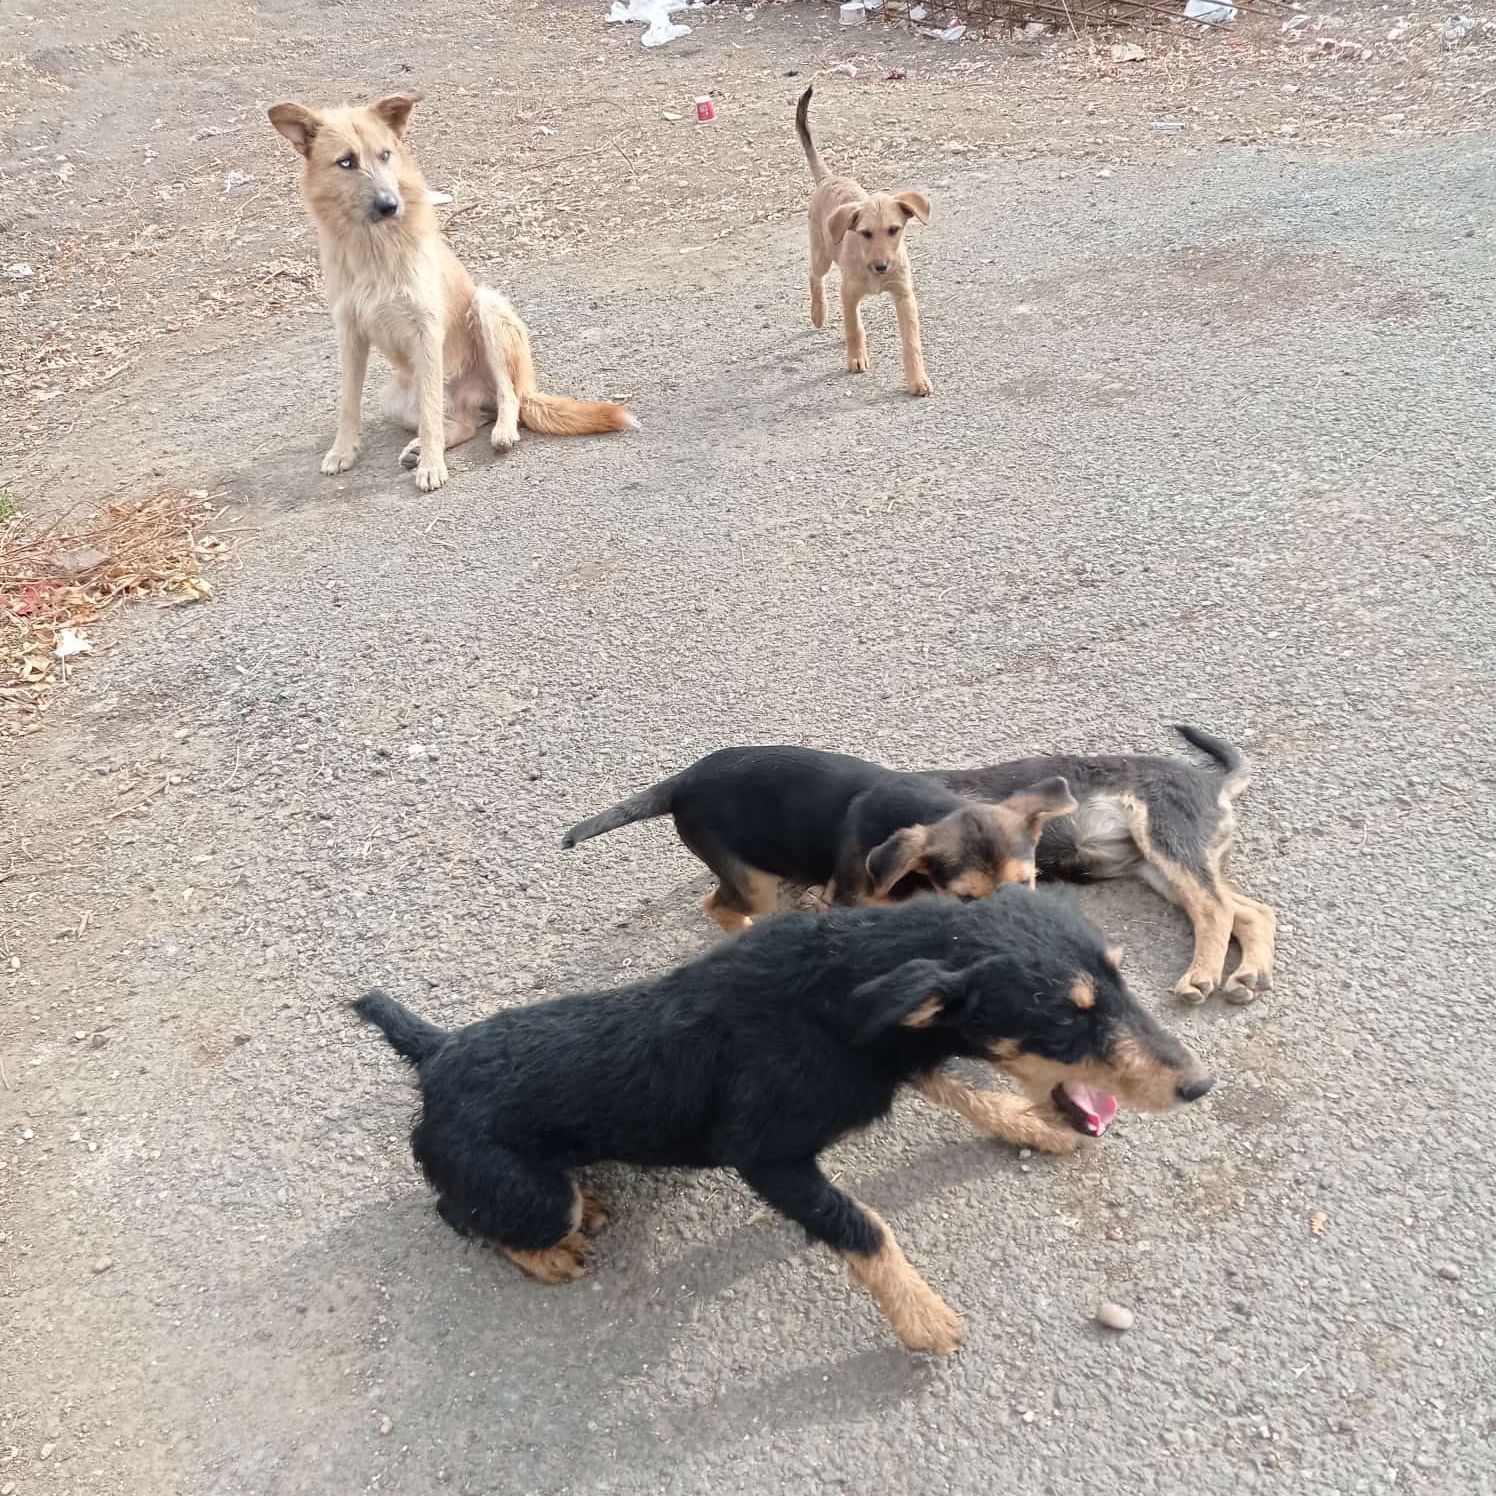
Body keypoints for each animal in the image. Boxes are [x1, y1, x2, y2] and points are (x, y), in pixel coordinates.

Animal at [267, 92, 634, 493]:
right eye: (346, 161)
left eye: (385, 155)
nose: (390, 205)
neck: (373, 248)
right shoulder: (350, 333)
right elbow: (348, 403)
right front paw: (343, 451)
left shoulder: (426, 329)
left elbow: (430, 414)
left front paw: (432, 466)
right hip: (394, 397)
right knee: (465, 423)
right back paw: (424, 446)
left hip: (487, 307)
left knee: (506, 396)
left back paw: (500, 432)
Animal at [353, 889, 1212, 1354]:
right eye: (1065, 1017)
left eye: (1119, 979)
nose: (1200, 1084)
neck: (840, 989)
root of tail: (436, 1053)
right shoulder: (768, 1159)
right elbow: (863, 1225)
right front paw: (922, 1318)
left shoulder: (897, 1054)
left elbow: (964, 1092)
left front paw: (1029, 1127)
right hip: (523, 1190)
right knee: (459, 1213)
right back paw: (551, 1251)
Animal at [796, 83, 933, 396]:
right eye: (865, 233)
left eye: (894, 230)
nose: (882, 266)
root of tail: (828, 179)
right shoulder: (849, 292)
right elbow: (853, 328)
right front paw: (857, 357)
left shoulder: (904, 295)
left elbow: (911, 342)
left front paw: (917, 378)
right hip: (821, 255)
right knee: (814, 276)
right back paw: (818, 313)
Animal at [931, 725, 1275, 1005]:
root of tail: (1215, 783)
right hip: (1162, 870)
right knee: (1251, 912)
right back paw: (1249, 975)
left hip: (1168, 841)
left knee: (1216, 909)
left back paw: (1200, 976)